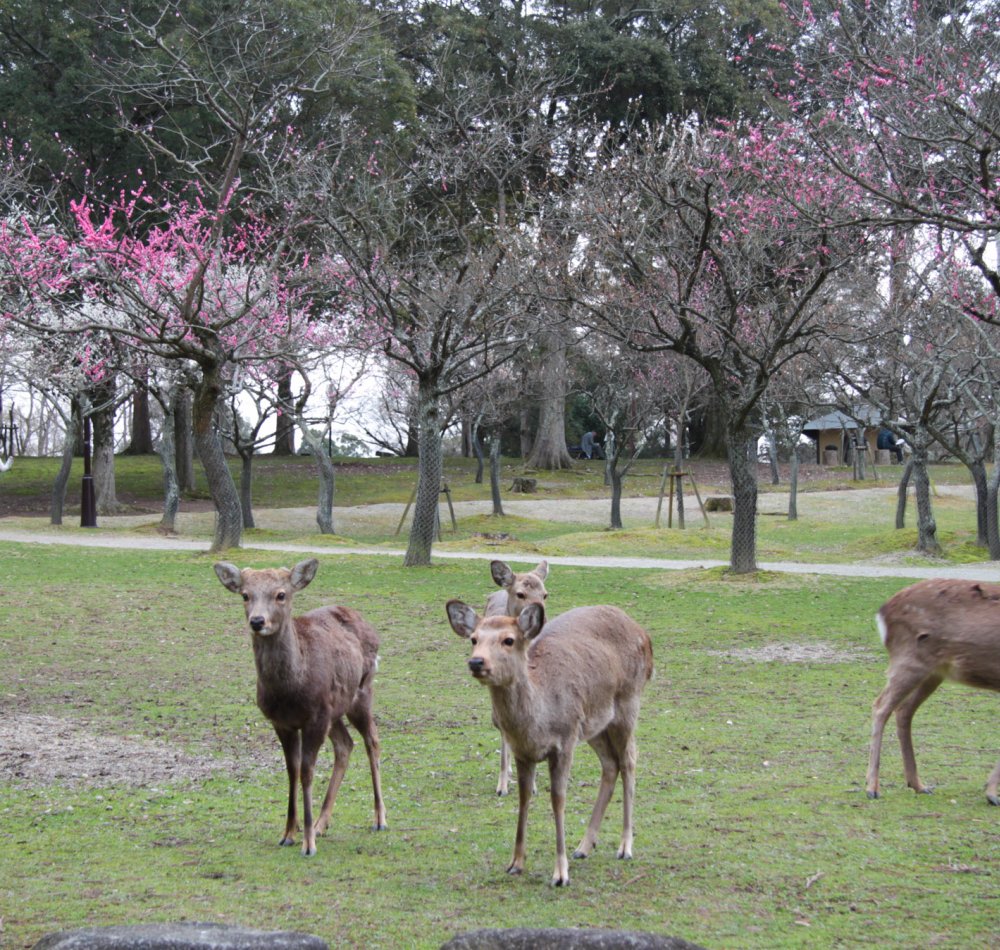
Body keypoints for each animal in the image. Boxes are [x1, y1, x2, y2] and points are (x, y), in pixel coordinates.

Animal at [214, 558, 387, 855]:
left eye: (281, 594)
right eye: (245, 595)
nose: (257, 621)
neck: (290, 691)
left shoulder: (315, 718)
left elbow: (307, 772)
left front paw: (307, 844)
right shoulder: (282, 722)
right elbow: (292, 771)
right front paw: (288, 833)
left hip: (362, 692)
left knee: (372, 741)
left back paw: (379, 819)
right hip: (334, 709)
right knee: (345, 744)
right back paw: (321, 823)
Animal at [446, 599, 653, 886]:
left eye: (509, 640)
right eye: (474, 639)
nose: (476, 661)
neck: (537, 725)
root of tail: (644, 634)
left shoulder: (564, 742)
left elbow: (558, 799)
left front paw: (560, 874)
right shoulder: (523, 751)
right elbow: (523, 798)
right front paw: (515, 863)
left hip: (628, 704)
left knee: (630, 761)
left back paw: (624, 847)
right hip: (594, 725)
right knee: (611, 765)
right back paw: (584, 847)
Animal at [866, 578, 1000, 805]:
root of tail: (883, 612)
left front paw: (990, 792)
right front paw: (991, 793)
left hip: (933, 672)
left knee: (903, 710)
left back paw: (918, 785)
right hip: (909, 661)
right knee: (881, 706)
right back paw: (872, 788)